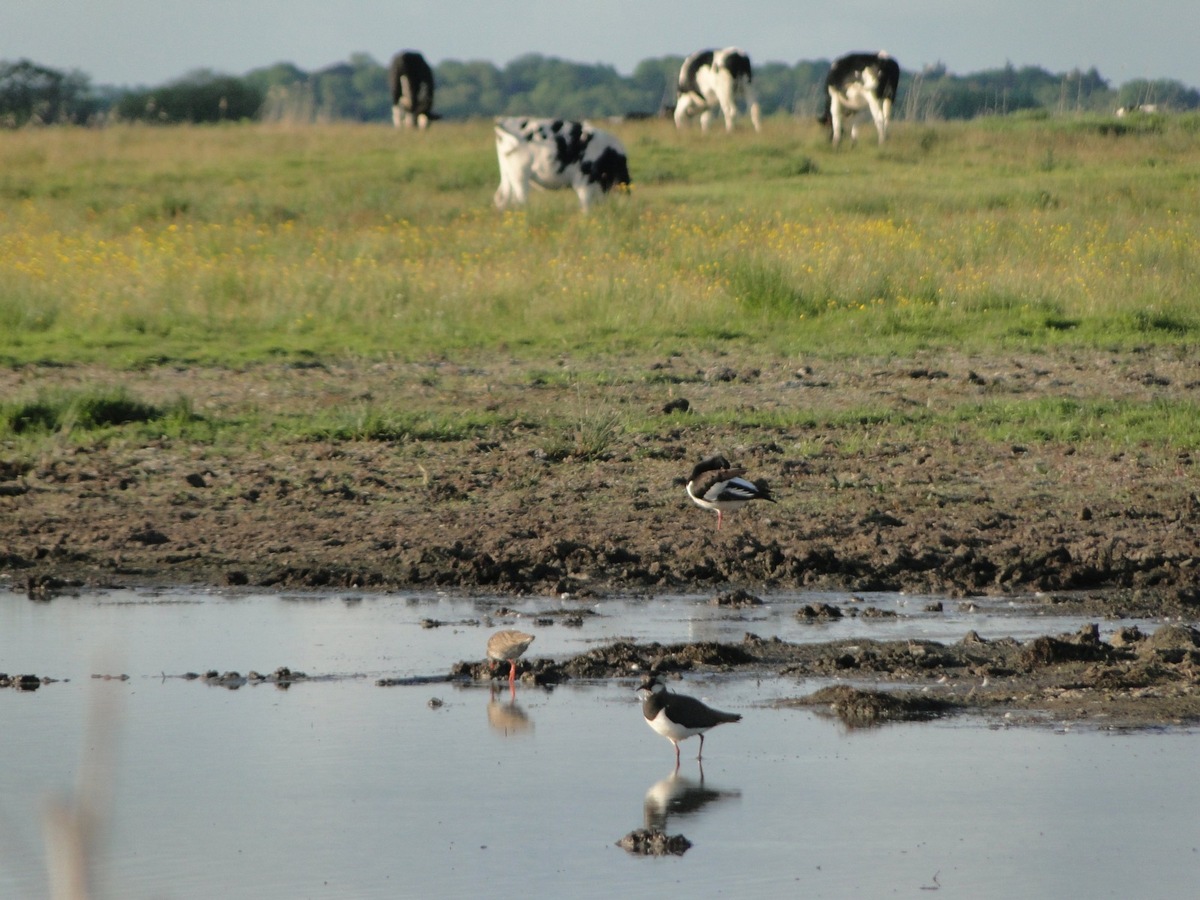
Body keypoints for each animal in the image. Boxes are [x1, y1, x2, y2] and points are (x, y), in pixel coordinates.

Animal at [492, 117, 633, 213]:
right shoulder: (584, 182)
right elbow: (586, 205)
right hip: (520, 175)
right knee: (520, 199)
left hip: (507, 174)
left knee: (501, 198)